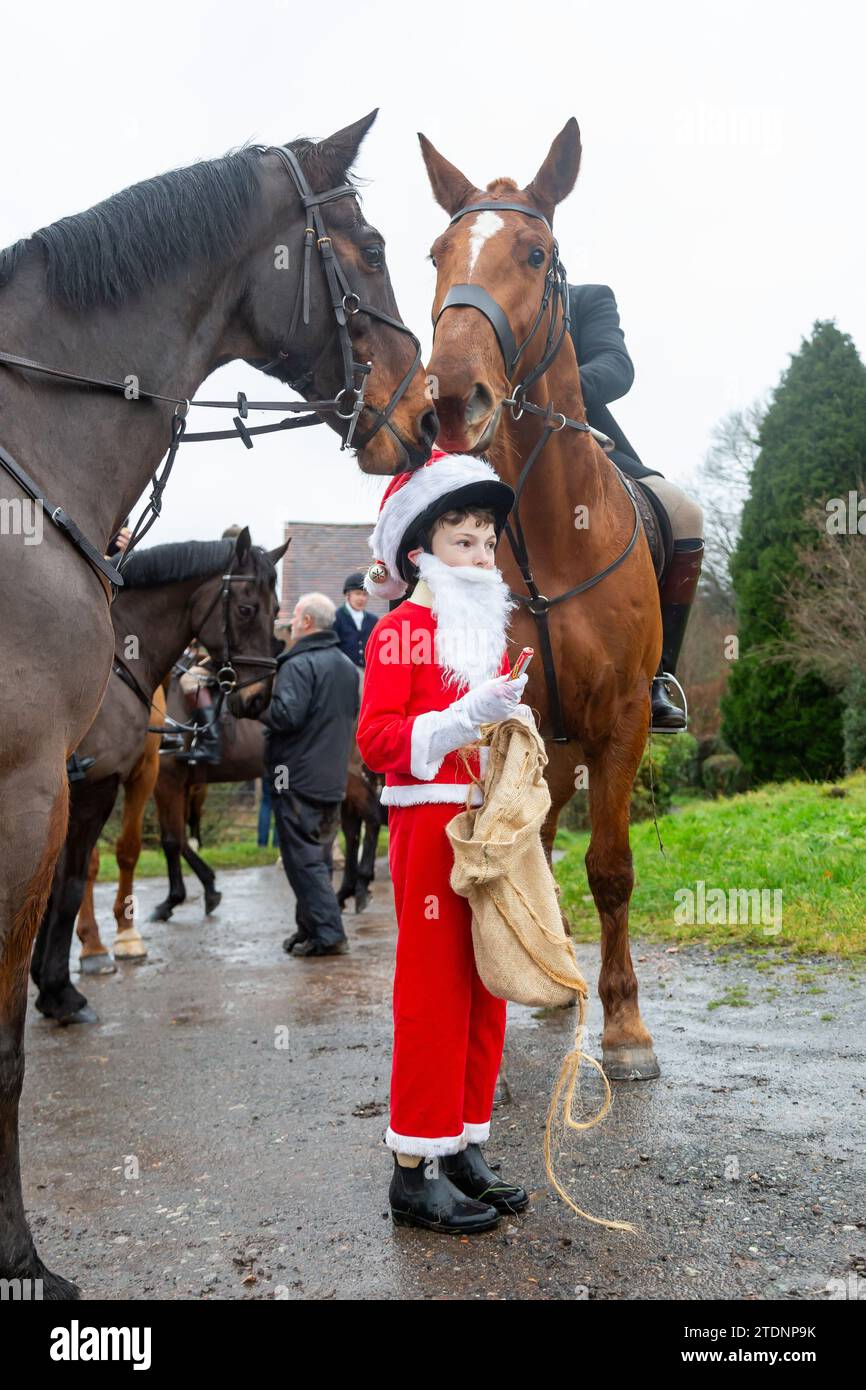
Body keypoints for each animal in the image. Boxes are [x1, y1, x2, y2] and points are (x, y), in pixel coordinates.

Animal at [29, 528, 287, 1023]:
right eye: (247, 609)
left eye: (279, 609)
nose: (258, 700)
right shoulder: (102, 784)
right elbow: (72, 880)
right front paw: (62, 985)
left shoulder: (138, 776)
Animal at [419, 122, 664, 1084]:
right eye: (436, 255)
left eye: (535, 253)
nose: (453, 395)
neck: (552, 538)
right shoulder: (503, 718)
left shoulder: (624, 719)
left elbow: (612, 867)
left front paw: (626, 1026)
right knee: (543, 833)